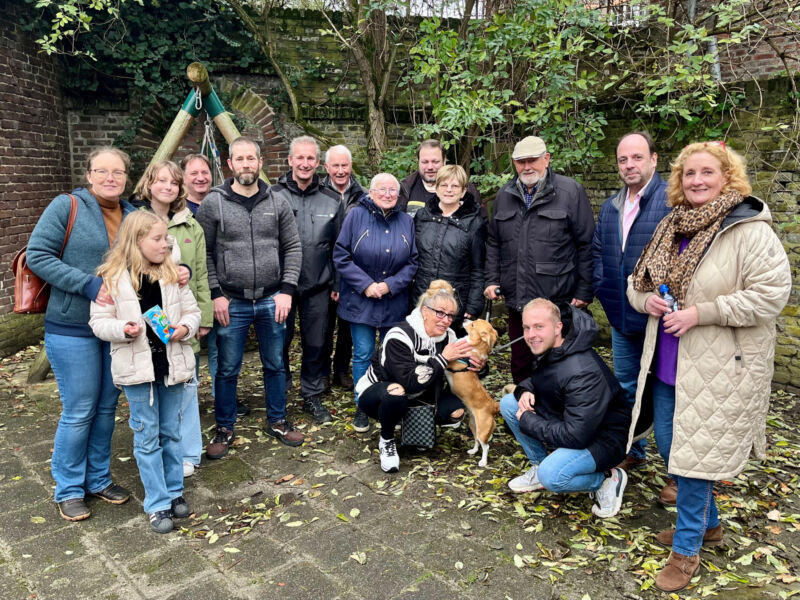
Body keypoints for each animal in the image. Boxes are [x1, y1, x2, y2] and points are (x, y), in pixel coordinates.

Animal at [446, 322, 496, 466]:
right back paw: (473, 451)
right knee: (477, 441)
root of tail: (493, 406)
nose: (465, 320)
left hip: (482, 430)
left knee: (486, 446)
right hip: (474, 426)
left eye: (473, 325)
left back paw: (483, 461)